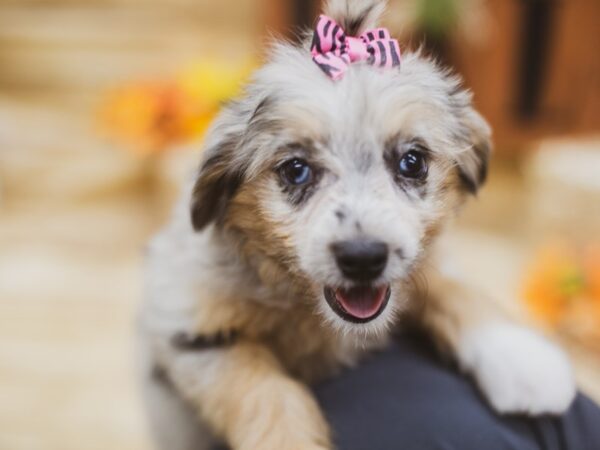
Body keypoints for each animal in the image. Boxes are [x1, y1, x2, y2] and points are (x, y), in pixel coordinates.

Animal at [139, 1, 576, 448]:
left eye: (412, 162)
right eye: (296, 170)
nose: (363, 258)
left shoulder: (424, 262)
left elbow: (454, 289)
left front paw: (524, 361)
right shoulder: (189, 326)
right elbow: (265, 392)